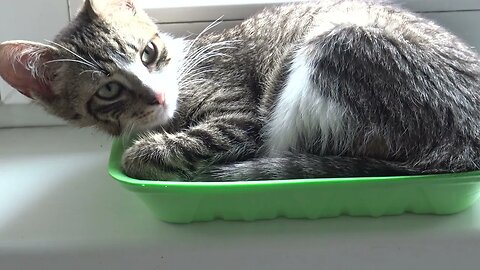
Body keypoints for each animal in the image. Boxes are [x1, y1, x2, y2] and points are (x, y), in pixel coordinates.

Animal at [0, 0, 480, 181]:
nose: (156, 96)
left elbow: (197, 139)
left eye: (148, 53)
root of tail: (465, 147)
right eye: (108, 91)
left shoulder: (238, 114)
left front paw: (144, 155)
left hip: (337, 48)